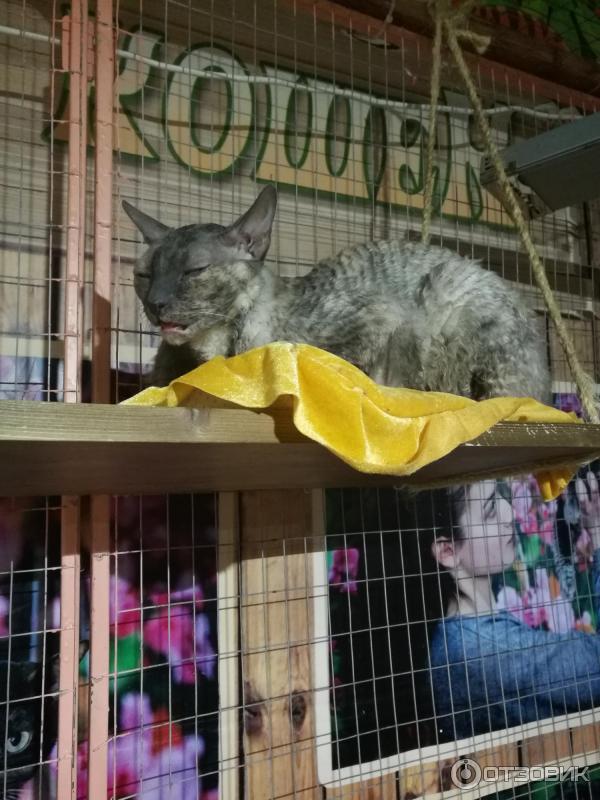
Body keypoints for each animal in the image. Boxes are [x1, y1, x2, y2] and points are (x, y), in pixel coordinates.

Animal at [123, 185, 551, 402]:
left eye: (194, 271)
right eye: (143, 275)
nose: (156, 304)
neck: (213, 349)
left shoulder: (383, 317)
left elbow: (351, 365)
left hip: (447, 300)